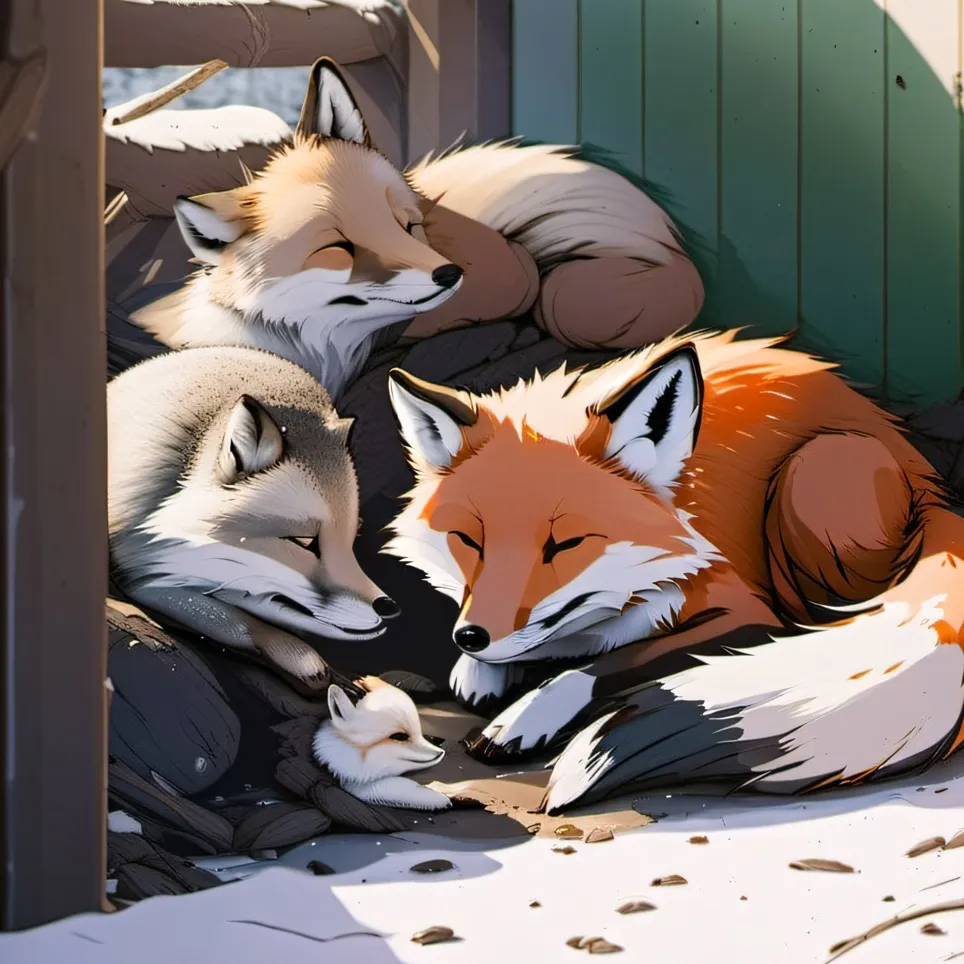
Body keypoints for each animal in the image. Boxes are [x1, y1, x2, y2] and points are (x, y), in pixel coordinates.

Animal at [108, 345, 400, 689]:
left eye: (350, 542)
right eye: (304, 541)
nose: (389, 607)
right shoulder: (138, 569)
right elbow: (233, 620)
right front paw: (299, 655)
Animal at [382, 329, 964, 814]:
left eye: (565, 544)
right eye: (469, 540)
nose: (472, 636)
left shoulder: (745, 613)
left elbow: (599, 666)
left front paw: (526, 713)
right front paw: (480, 670)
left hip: (809, 478)